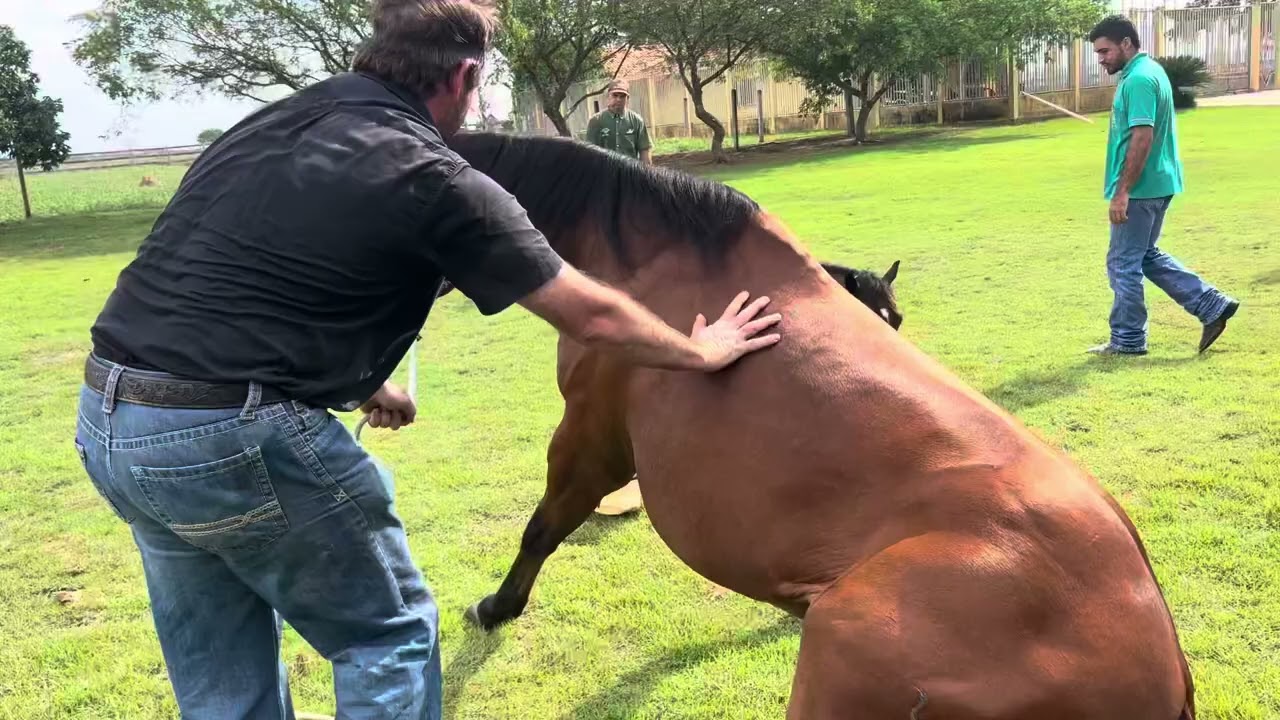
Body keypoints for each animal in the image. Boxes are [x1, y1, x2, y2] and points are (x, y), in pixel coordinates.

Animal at [445, 132, 1195, 720]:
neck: (646, 260)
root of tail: (1167, 674)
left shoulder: (591, 438)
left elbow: (543, 527)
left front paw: (497, 607)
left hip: (843, 638)